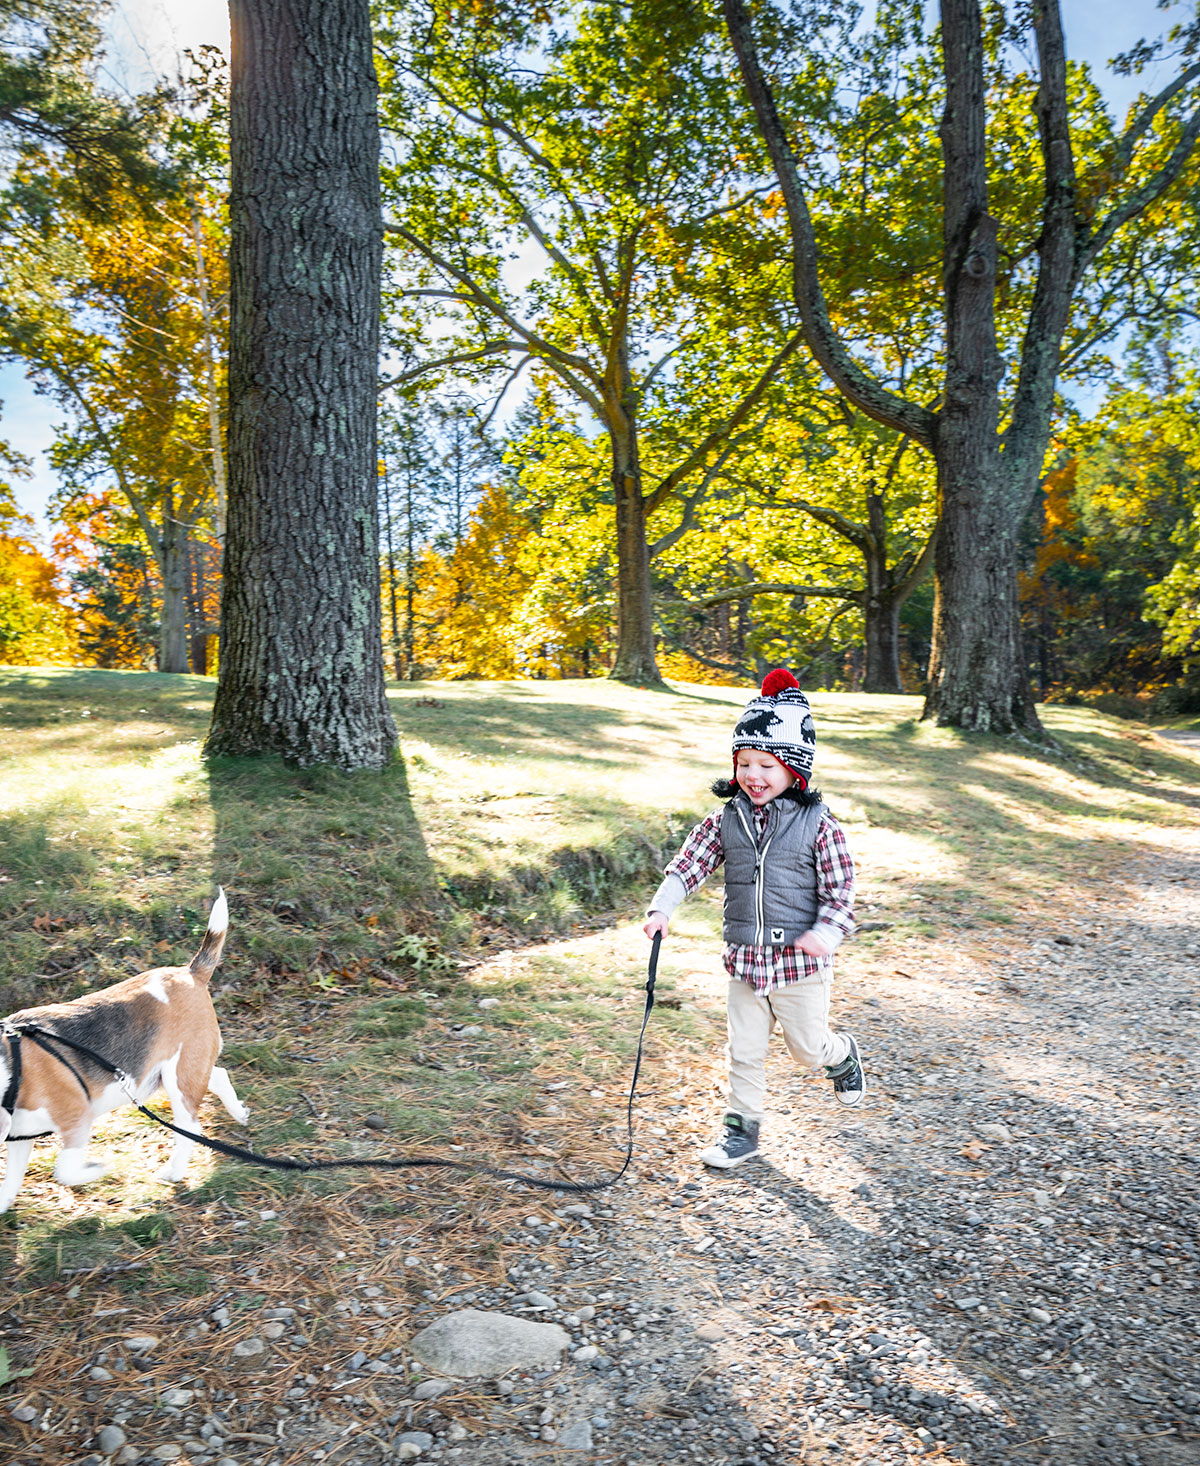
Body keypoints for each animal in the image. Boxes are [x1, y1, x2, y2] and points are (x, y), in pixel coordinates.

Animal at [0, 891, 249, 1213]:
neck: (11, 1067)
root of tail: (190, 972)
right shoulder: (19, 1136)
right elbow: (11, 1182)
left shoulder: (77, 1117)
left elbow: (65, 1171)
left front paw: (100, 1168)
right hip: (182, 1070)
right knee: (218, 1075)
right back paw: (238, 1112)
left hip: (177, 1078)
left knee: (191, 1127)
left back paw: (174, 1171)